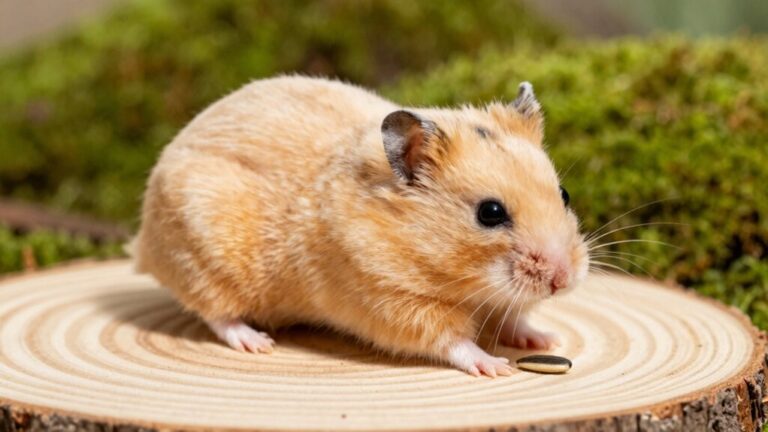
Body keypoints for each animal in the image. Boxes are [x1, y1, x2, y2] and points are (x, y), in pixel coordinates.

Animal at [133, 76, 589, 377]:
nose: (563, 280)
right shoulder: (391, 301)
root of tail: (142, 241)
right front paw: (496, 366)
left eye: (565, 194)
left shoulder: (496, 301)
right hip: (204, 256)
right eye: (490, 213)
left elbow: (513, 320)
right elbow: (452, 341)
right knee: (216, 314)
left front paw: (544, 340)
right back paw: (256, 343)